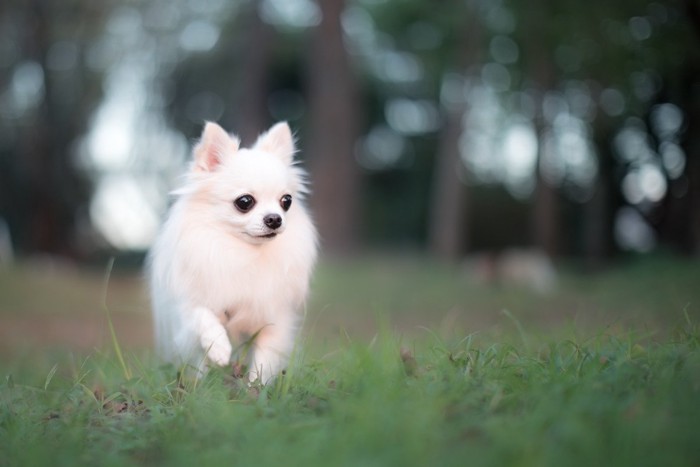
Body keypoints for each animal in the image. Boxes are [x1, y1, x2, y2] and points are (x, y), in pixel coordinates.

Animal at [150, 120, 320, 384]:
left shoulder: (273, 319)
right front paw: (219, 347)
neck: (243, 253)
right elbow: (202, 315)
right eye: (245, 202)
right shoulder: (189, 302)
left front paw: (255, 388)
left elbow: (263, 362)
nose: (275, 219)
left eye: (286, 201)